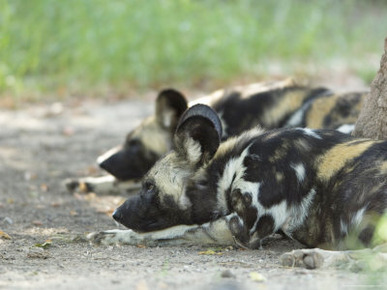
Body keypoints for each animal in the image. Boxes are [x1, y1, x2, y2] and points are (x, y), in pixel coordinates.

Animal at [88, 103, 387, 270]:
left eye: (149, 186)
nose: (116, 213)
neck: (234, 164)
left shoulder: (242, 229)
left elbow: (167, 231)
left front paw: (108, 235)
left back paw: (311, 257)